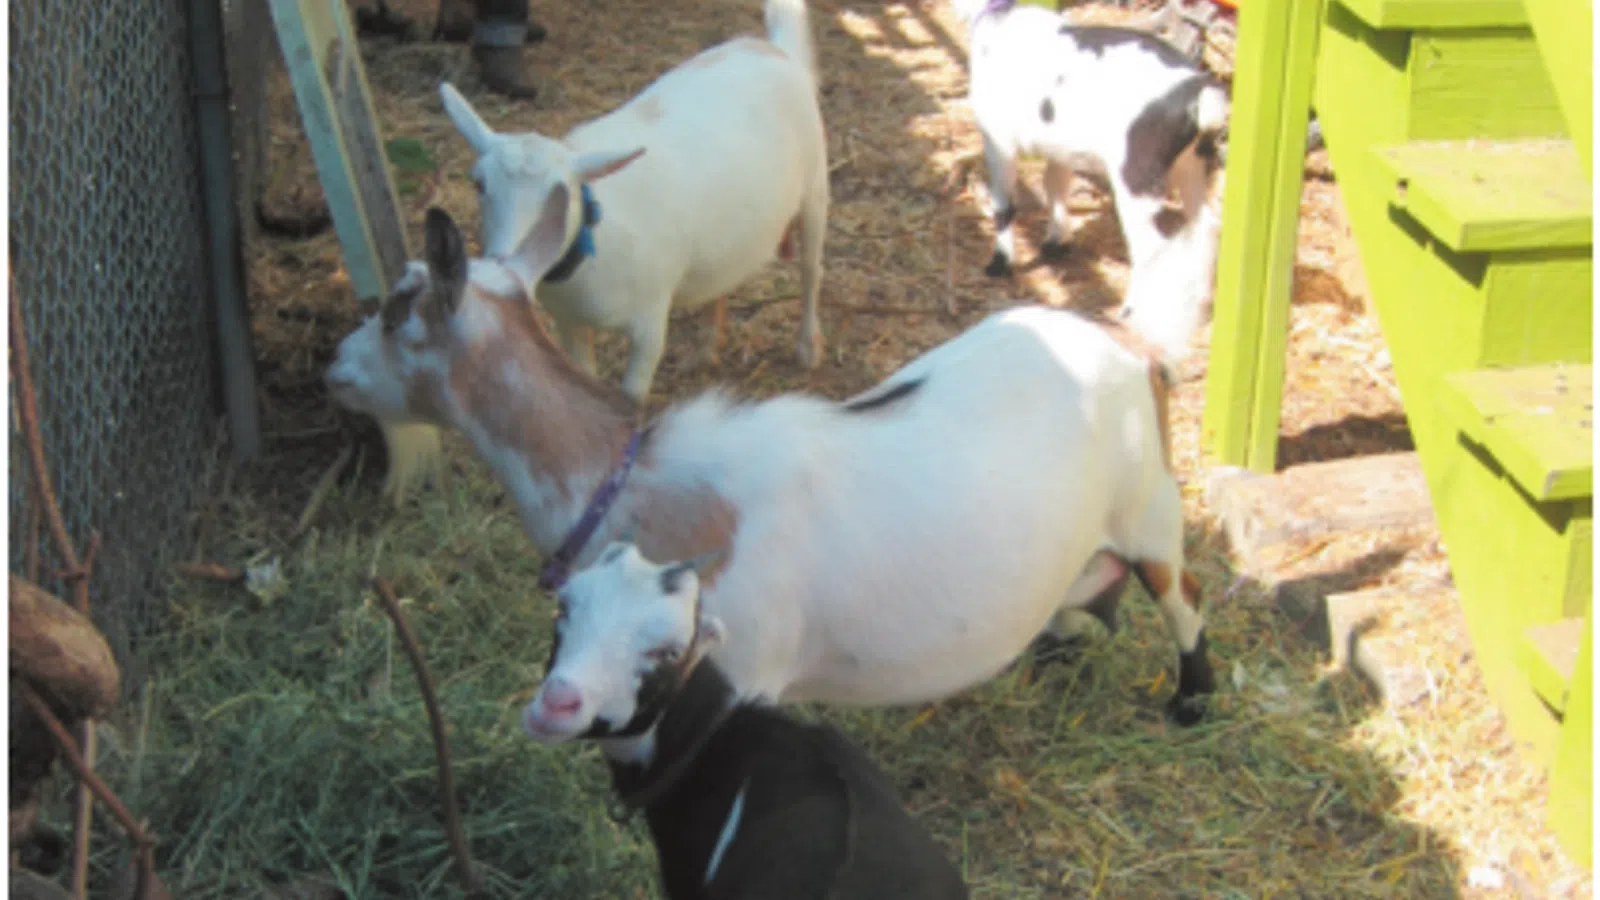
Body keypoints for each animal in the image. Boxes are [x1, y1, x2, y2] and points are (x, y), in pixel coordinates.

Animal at [324, 204, 1217, 724]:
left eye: (398, 310)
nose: (334, 364)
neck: (637, 484)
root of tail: (1132, 343)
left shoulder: (739, 673)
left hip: (1152, 510)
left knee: (1184, 597)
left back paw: (1192, 703)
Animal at [437, 0, 829, 404]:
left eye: (563, 195)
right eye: (479, 183)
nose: (501, 265)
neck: (596, 236)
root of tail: (776, 50)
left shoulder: (650, 326)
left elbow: (631, 398)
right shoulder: (569, 323)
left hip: (815, 187)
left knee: (811, 271)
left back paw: (808, 347)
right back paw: (706, 349)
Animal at [953, 0, 1228, 361]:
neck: (995, 18)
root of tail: (1197, 95)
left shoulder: (998, 140)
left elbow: (1004, 204)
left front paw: (1000, 262)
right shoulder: (1058, 145)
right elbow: (1055, 184)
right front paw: (1057, 242)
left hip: (1137, 173)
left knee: (1151, 247)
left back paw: (1131, 311)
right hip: (1191, 162)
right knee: (1206, 223)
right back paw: (1199, 300)